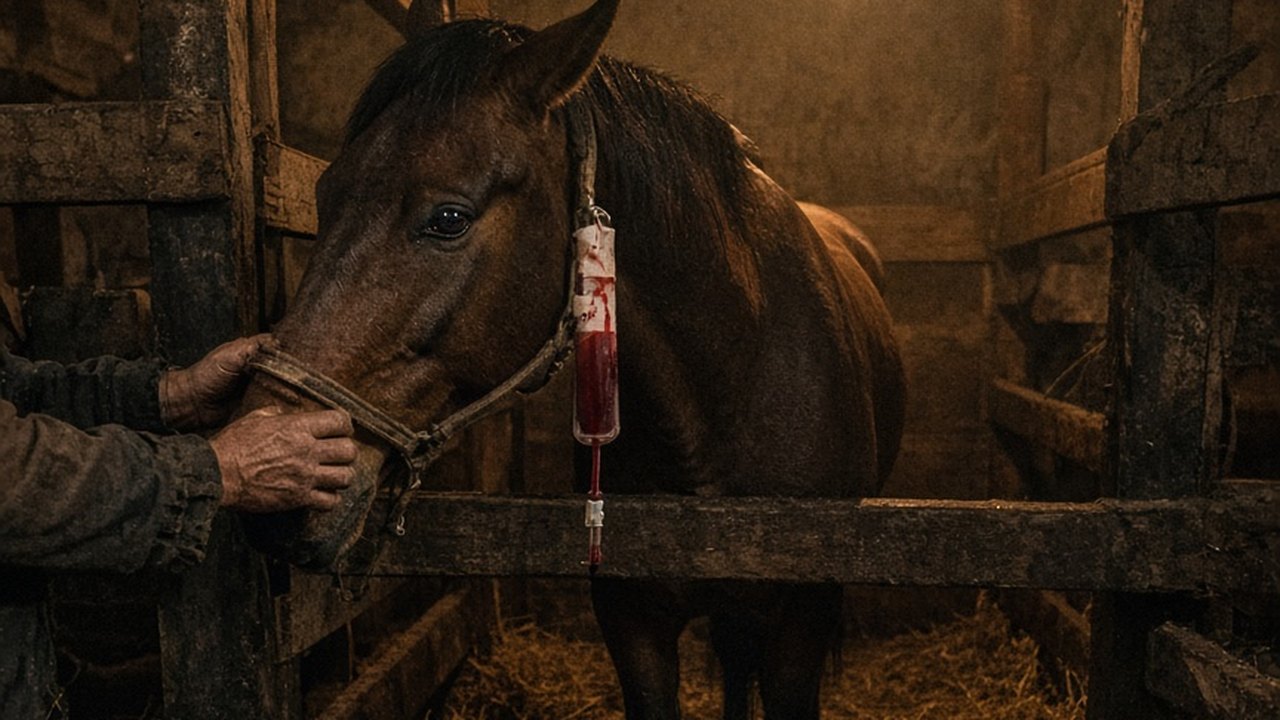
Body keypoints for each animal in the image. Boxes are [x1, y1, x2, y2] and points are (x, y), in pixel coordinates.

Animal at [240, 1, 906, 717]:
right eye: (325, 192)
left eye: (448, 218)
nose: (277, 479)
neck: (734, 378)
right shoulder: (631, 621)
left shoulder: (801, 626)